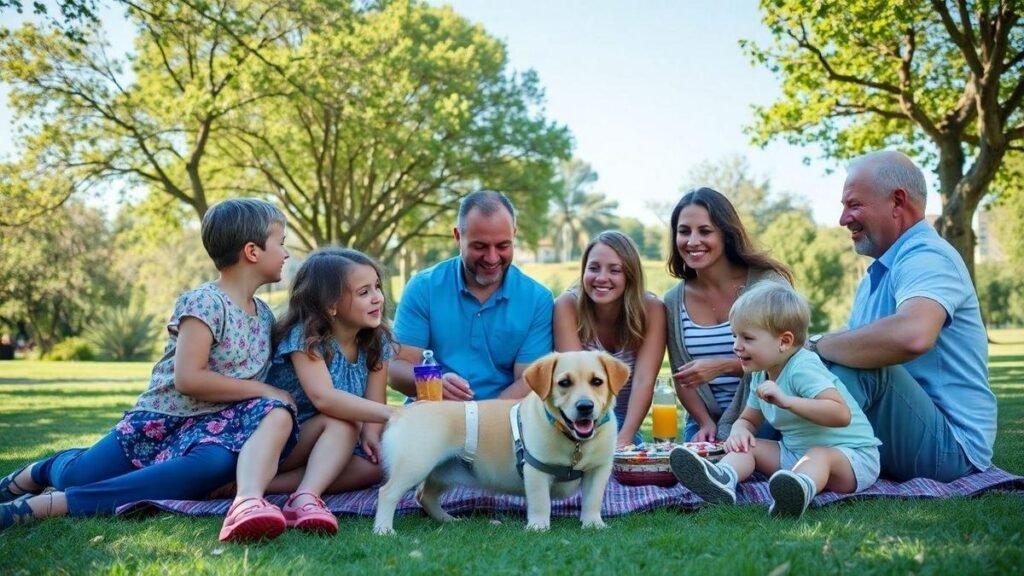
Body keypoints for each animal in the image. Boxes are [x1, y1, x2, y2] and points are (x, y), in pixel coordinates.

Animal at [374, 350, 626, 532]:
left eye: (597, 381)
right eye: (564, 383)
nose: (585, 407)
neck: (574, 442)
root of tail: (400, 413)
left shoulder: (598, 470)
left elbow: (592, 500)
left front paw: (593, 524)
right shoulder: (536, 471)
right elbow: (541, 502)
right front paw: (538, 527)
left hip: (443, 473)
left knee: (424, 496)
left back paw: (449, 520)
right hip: (414, 465)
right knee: (387, 493)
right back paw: (384, 530)